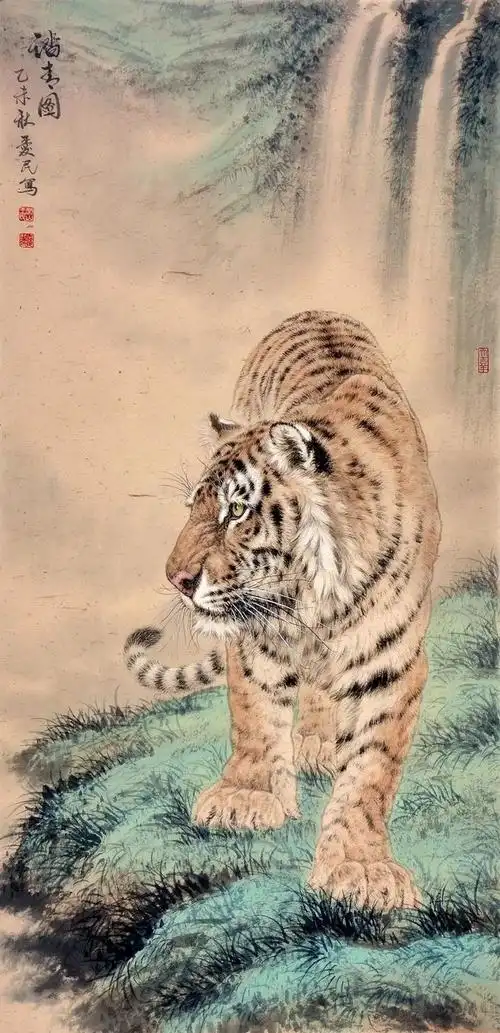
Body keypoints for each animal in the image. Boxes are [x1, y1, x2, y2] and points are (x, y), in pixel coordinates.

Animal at [124, 310, 441, 911]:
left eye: (236, 511)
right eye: (193, 509)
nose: (176, 579)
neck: (319, 592)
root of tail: (315, 310)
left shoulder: (394, 660)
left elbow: (372, 767)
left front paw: (361, 869)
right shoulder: (255, 639)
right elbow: (254, 715)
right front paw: (245, 798)